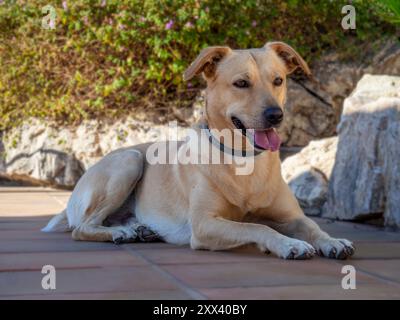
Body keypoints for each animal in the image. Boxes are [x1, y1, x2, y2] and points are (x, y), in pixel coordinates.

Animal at [43, 41, 354, 258]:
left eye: (278, 80)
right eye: (241, 83)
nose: (275, 115)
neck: (243, 160)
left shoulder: (292, 217)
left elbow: (313, 227)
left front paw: (333, 241)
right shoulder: (205, 225)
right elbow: (255, 226)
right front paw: (288, 244)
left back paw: (136, 228)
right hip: (128, 161)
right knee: (81, 228)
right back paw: (120, 233)